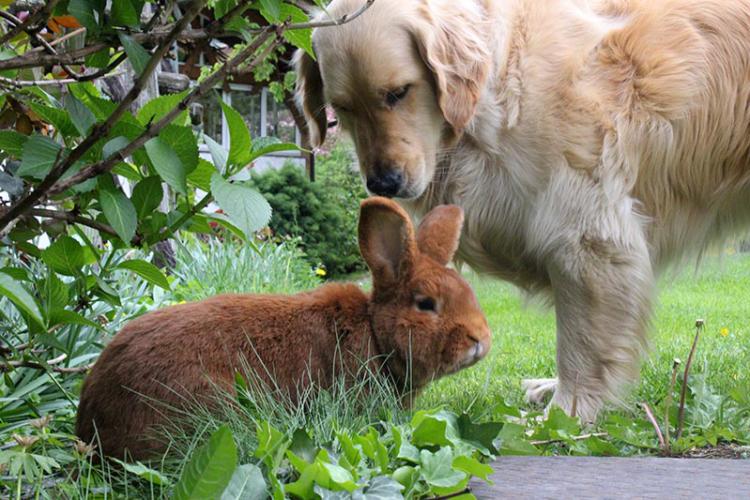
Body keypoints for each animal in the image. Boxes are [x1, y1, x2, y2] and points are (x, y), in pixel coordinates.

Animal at [296, 0, 750, 422]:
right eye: (342, 109)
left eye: (398, 92)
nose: (383, 184)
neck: (499, 87)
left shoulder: (587, 237)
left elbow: (581, 344)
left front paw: (565, 413)